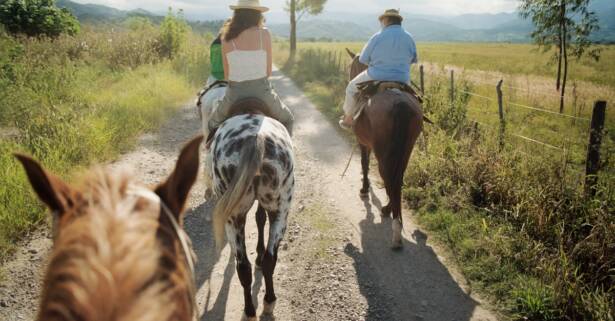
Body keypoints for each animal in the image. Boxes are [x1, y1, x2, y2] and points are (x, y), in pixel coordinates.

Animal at [197, 85, 294, 320]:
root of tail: (254, 138)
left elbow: (258, 219)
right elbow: (260, 219)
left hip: (235, 217)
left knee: (243, 266)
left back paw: (252, 309)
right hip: (278, 211)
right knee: (266, 260)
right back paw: (266, 303)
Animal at [346, 48, 424, 248]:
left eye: (352, 67)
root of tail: (400, 103)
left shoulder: (363, 142)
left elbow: (364, 164)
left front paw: (364, 189)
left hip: (384, 155)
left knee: (390, 179)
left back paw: (395, 229)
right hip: (405, 151)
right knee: (397, 180)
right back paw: (390, 212)